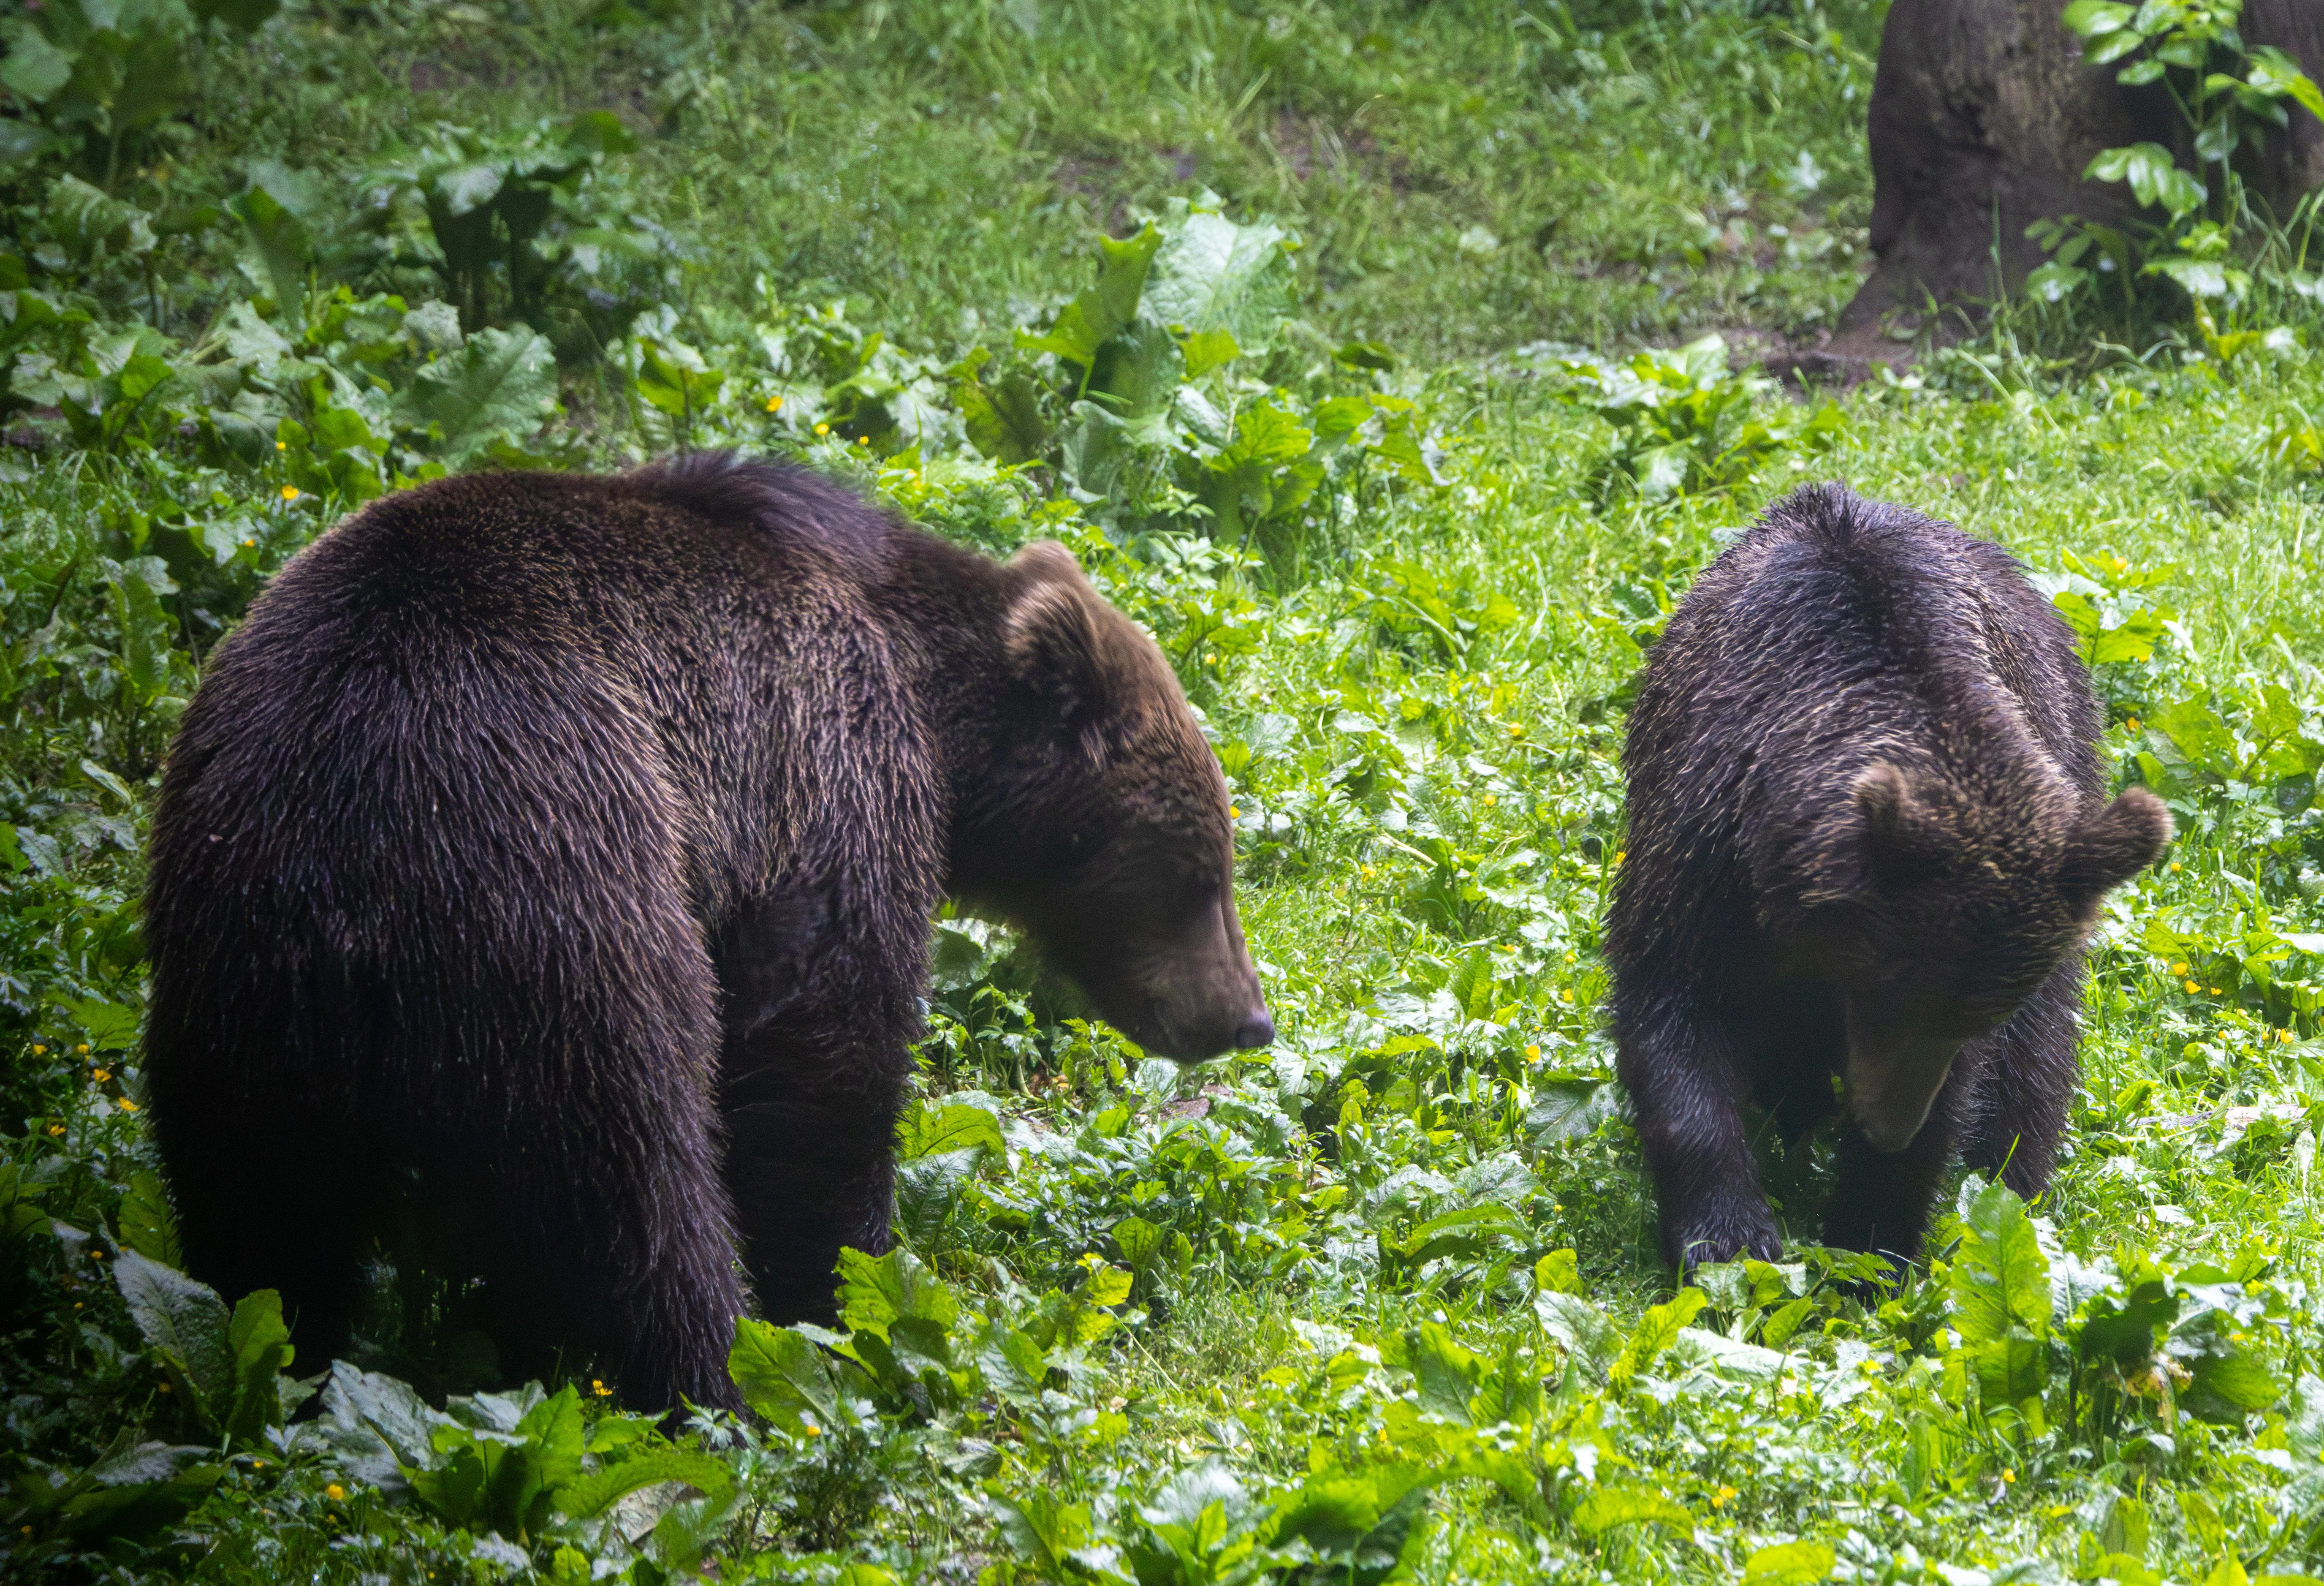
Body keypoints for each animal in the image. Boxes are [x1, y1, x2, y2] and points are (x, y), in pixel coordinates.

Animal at [143, 453, 1272, 1413]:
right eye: (1202, 868)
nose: (1248, 1018)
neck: (936, 710)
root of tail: (349, 895)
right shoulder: (820, 773)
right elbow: (826, 1058)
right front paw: (846, 1293)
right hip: (560, 899)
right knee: (636, 1186)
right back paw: (714, 1384)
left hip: (230, 980)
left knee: (262, 1212)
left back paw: (290, 1355)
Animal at [1605, 484, 2170, 1271]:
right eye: (1888, 987)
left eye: (1968, 1020)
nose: (1887, 1126)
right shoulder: (1701, 860)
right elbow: (1673, 1023)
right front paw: (1727, 1237)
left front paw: (1869, 1247)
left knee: (2040, 1051)